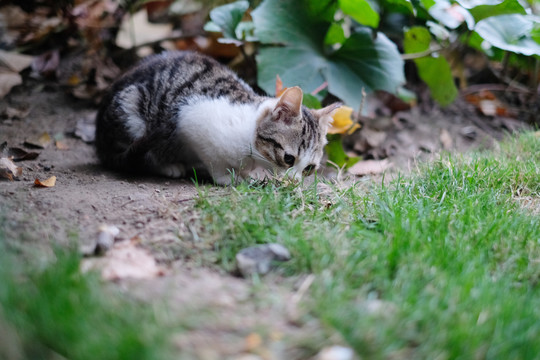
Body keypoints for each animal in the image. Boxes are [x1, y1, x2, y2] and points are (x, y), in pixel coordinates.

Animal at [93, 50, 338, 186]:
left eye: (309, 168)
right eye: (288, 158)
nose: (294, 181)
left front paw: (246, 174)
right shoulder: (191, 121)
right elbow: (215, 161)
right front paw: (228, 178)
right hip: (133, 110)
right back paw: (167, 165)